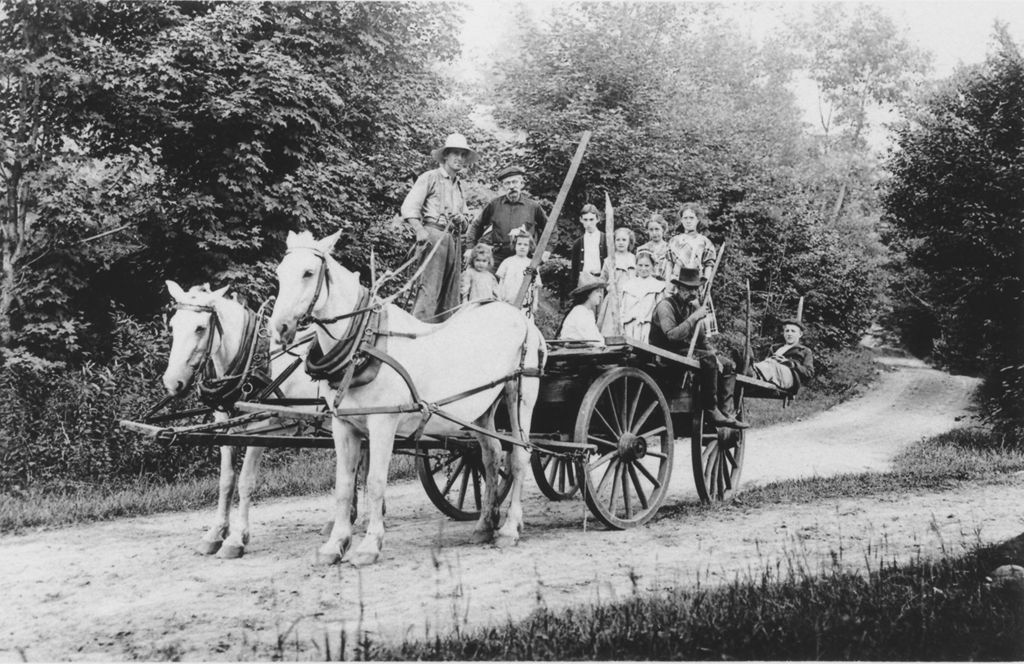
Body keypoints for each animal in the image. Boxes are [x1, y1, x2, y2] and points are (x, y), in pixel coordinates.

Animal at [162, 280, 319, 561]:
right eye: (172, 325)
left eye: (200, 328)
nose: (171, 383)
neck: (250, 363)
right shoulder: (225, 425)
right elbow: (226, 481)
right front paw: (215, 534)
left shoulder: (259, 430)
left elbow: (246, 482)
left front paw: (236, 539)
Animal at [270, 229, 544, 565]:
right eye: (280, 273)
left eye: (308, 273)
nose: (280, 327)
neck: (365, 345)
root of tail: (520, 317)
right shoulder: (343, 426)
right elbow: (344, 485)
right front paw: (335, 545)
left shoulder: (383, 424)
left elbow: (375, 482)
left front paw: (369, 545)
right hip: (482, 409)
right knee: (490, 456)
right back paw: (484, 525)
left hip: (520, 395)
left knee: (519, 456)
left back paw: (509, 528)